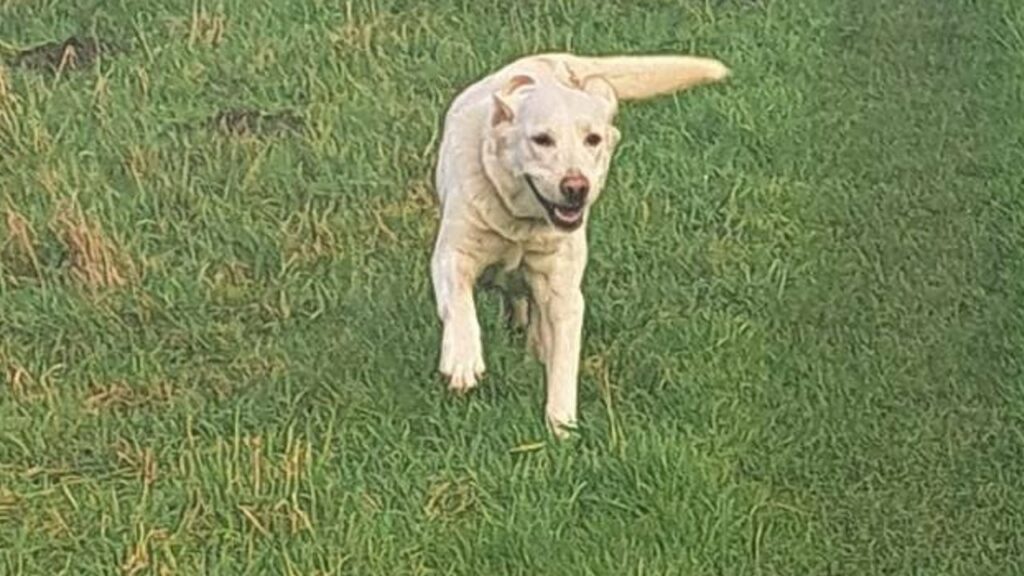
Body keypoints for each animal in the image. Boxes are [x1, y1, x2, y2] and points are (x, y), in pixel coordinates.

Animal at [430, 52, 729, 434]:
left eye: (593, 139)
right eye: (541, 139)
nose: (576, 187)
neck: (520, 223)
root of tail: (554, 60)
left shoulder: (562, 293)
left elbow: (564, 358)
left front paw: (562, 426)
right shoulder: (453, 254)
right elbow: (460, 304)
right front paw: (463, 359)